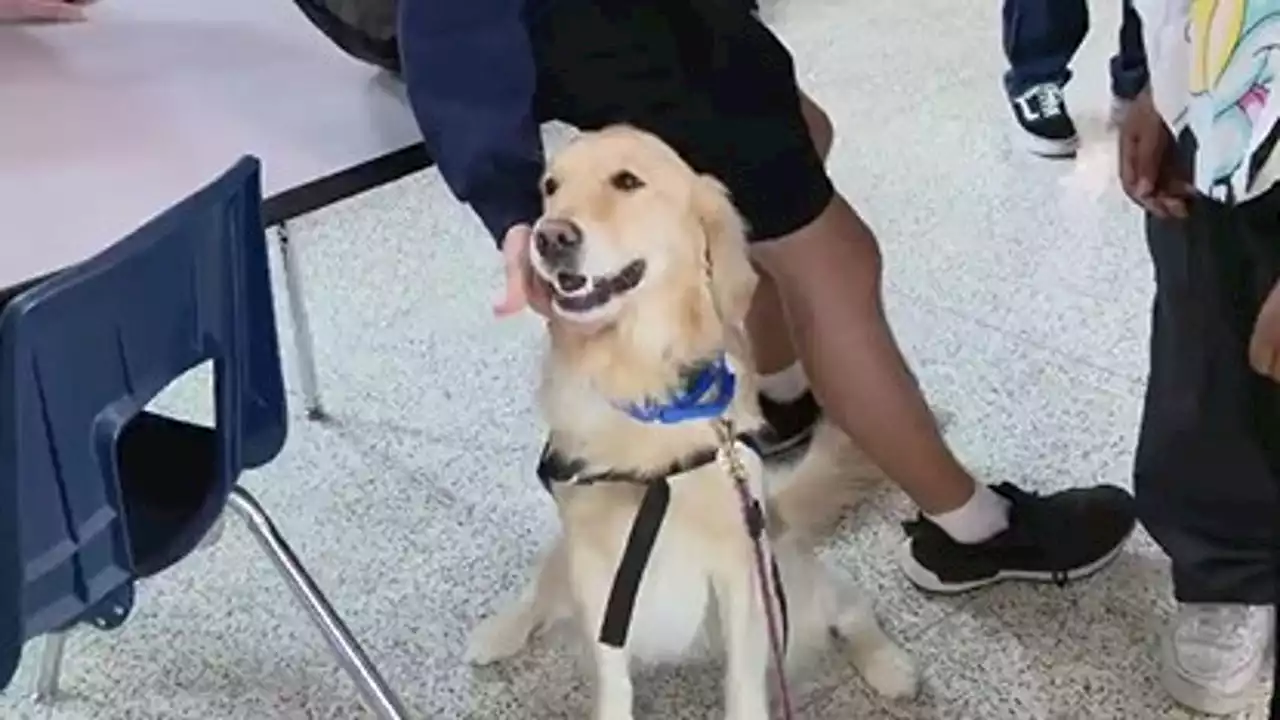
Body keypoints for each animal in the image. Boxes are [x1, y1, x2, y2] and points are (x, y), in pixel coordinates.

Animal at [468, 126, 921, 712]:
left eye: (627, 182)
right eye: (551, 187)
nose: (549, 237)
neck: (642, 381)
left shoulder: (742, 569)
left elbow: (744, 686)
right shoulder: (594, 569)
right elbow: (613, 682)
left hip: (796, 586)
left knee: (851, 609)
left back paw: (891, 668)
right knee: (540, 589)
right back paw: (496, 633)